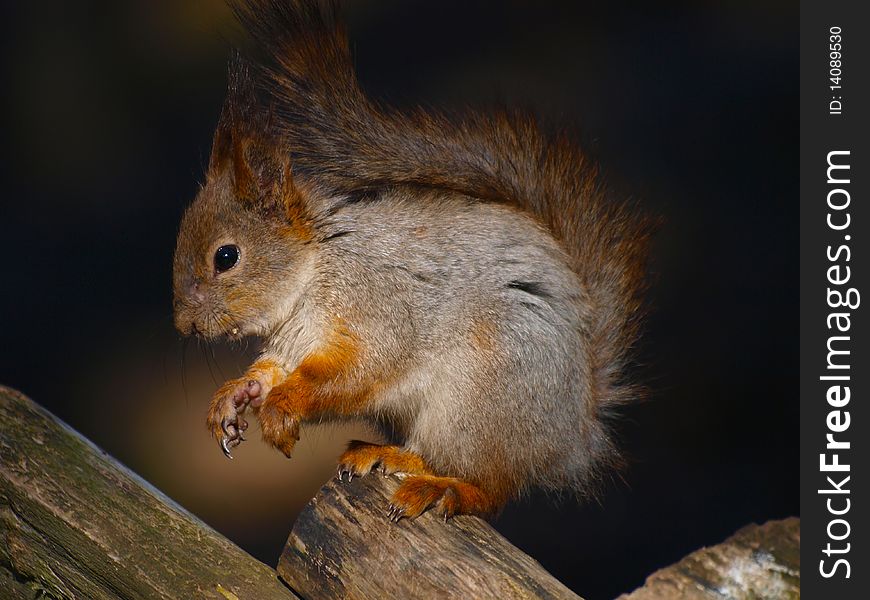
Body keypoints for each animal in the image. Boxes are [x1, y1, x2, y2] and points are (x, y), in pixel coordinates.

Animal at [172, 0, 656, 524]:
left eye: (226, 257)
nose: (183, 325)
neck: (315, 271)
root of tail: (575, 432)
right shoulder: (294, 344)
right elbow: (273, 371)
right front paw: (235, 396)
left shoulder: (380, 303)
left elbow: (357, 369)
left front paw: (282, 409)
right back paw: (384, 454)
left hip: (480, 401)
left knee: (489, 486)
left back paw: (440, 488)